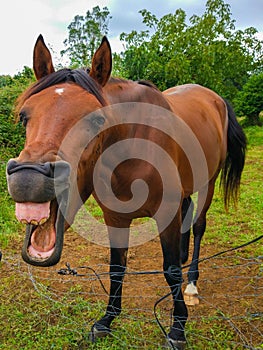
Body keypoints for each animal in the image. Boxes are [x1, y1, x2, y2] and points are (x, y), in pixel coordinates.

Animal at [6, 34, 248, 348]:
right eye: (25, 116)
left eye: (96, 120)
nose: (27, 178)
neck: (133, 144)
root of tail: (215, 98)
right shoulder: (115, 217)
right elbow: (116, 267)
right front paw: (107, 319)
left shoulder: (165, 214)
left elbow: (171, 271)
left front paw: (177, 329)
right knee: (188, 212)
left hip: (209, 181)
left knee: (198, 226)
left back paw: (192, 283)